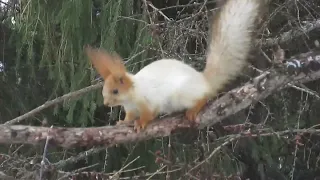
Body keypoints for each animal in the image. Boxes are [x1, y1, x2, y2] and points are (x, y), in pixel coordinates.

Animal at [84, 0, 262, 132]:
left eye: (115, 91)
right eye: (104, 90)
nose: (106, 104)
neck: (130, 96)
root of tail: (204, 82)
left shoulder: (148, 102)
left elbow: (148, 115)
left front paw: (141, 123)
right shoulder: (130, 109)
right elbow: (129, 117)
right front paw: (122, 122)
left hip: (183, 95)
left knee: (203, 98)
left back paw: (193, 109)